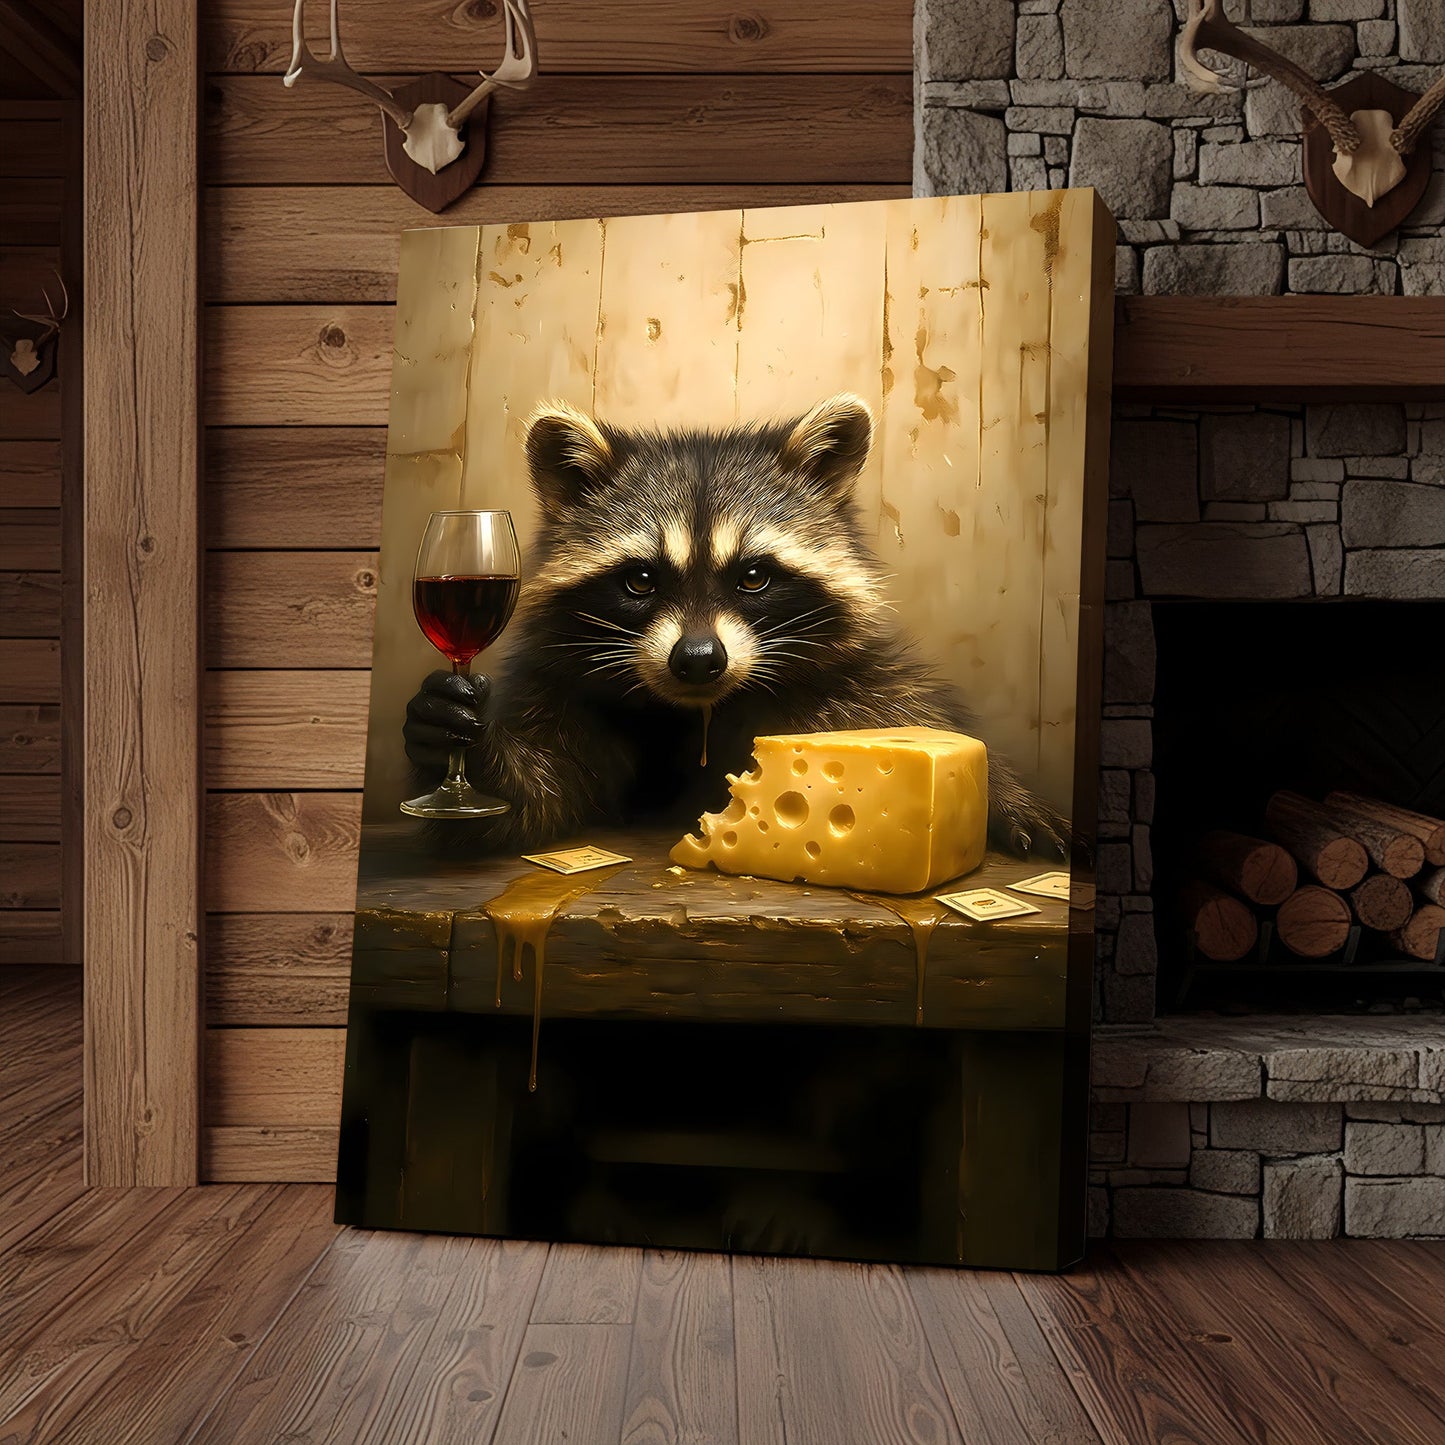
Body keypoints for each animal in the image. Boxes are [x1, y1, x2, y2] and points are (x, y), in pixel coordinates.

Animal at [403, 394, 1070, 859]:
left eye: (752, 576)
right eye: (640, 581)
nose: (698, 659)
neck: (699, 711)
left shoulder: (856, 686)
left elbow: (911, 720)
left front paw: (1002, 795)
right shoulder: (560, 692)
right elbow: (535, 801)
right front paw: (464, 744)